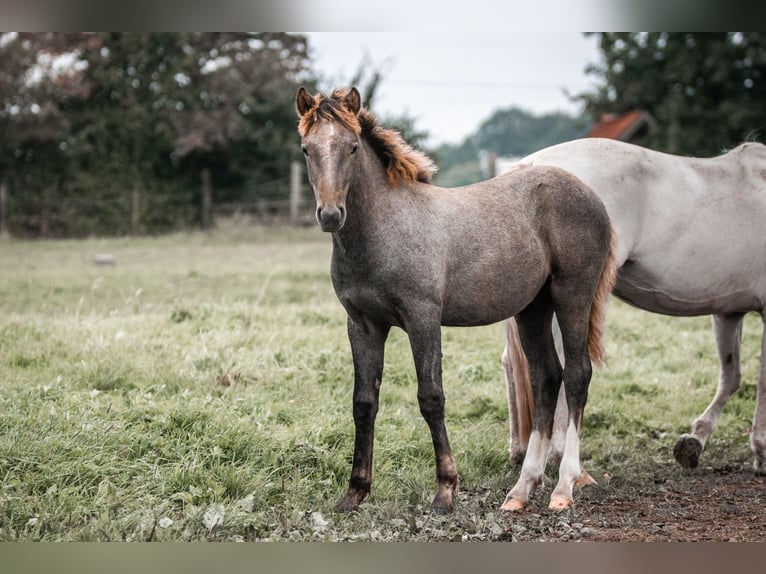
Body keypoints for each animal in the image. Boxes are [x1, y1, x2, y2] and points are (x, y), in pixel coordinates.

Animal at [296, 89, 620, 512]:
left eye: (352, 147)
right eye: (306, 149)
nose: (331, 215)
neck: (385, 229)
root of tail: (592, 197)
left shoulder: (422, 318)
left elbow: (431, 397)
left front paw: (445, 490)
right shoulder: (362, 324)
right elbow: (363, 402)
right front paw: (355, 492)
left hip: (572, 296)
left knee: (577, 374)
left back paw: (563, 487)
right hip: (532, 308)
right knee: (546, 378)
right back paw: (522, 489)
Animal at [504, 138, 766, 486]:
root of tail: (532, 167)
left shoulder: (728, 312)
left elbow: (731, 376)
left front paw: (695, 442)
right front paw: (760, 450)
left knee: (515, 364)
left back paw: (521, 451)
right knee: (559, 366)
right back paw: (561, 455)